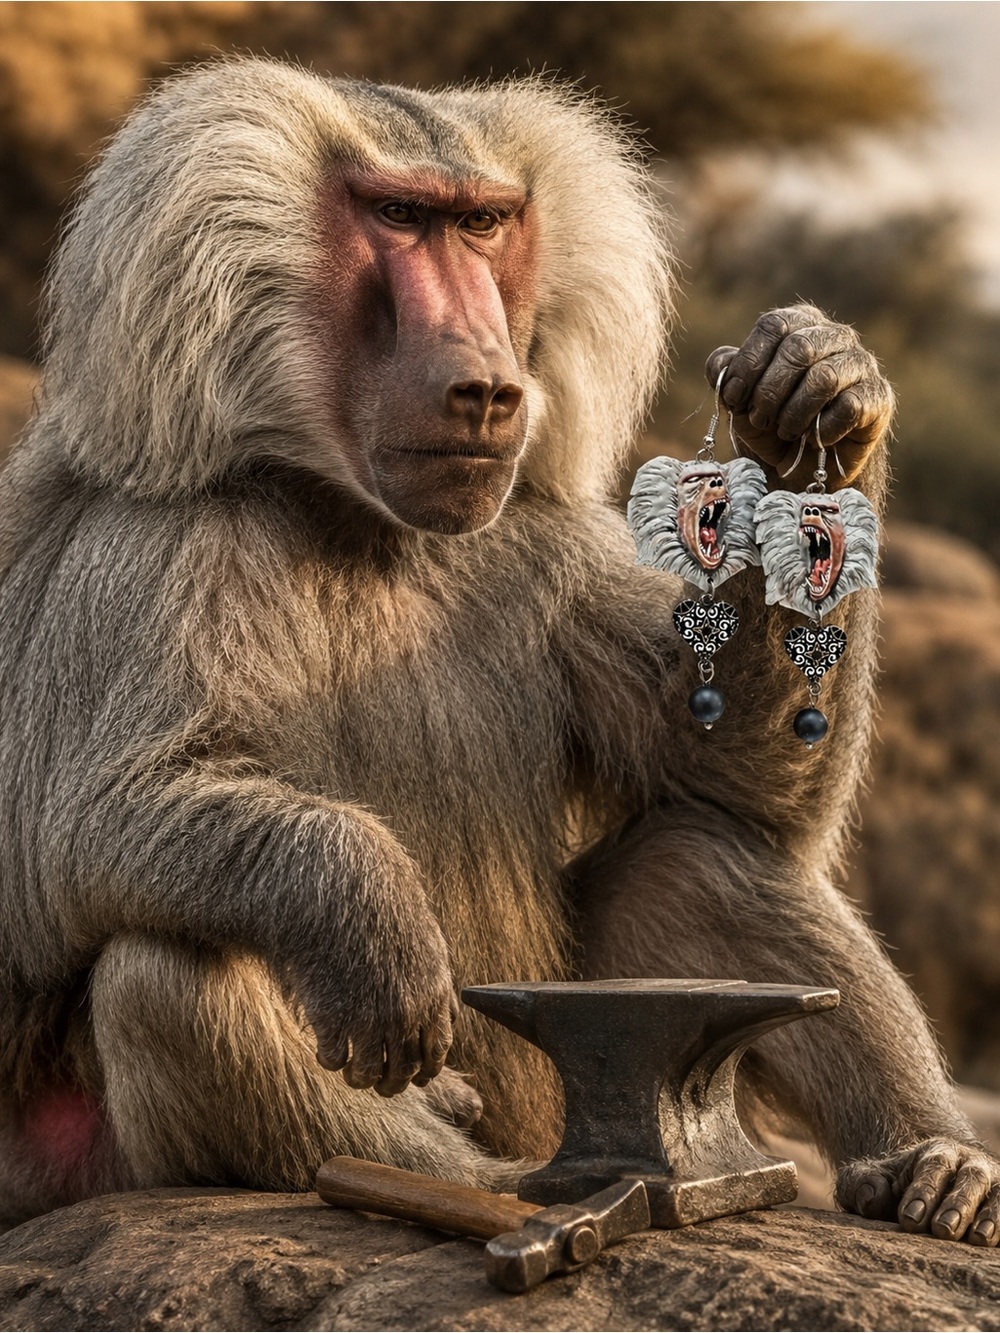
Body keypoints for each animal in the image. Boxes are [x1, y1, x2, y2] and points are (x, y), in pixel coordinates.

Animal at [0, 57, 997, 1248]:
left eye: (481, 224)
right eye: (398, 218)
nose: (485, 384)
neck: (356, 519)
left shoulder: (544, 542)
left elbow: (735, 784)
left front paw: (819, 398)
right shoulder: (152, 541)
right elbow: (75, 828)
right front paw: (373, 921)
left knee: (692, 856)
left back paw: (926, 1166)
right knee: (170, 972)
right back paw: (495, 1179)